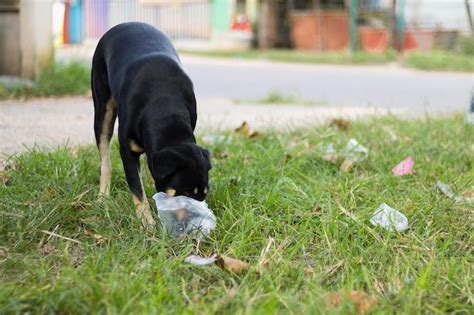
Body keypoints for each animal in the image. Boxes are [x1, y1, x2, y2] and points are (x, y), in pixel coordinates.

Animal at [91, 22, 210, 227]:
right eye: (185, 193)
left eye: (204, 195)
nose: (195, 223)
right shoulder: (127, 152)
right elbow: (138, 193)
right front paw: (147, 225)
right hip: (102, 108)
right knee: (105, 158)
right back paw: (103, 198)